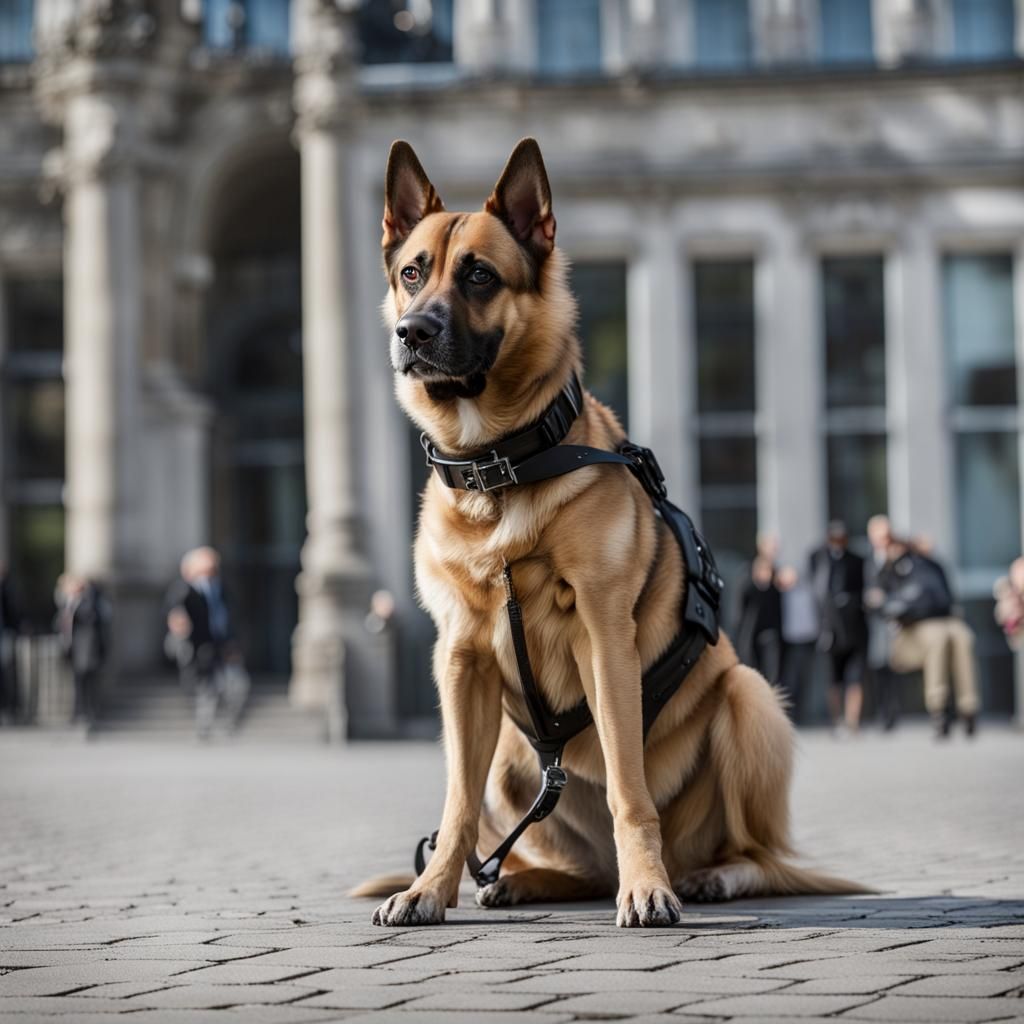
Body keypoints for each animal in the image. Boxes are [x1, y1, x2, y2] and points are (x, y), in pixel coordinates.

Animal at [354, 138, 864, 929]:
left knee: (759, 854)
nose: (413, 334)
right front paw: (431, 887)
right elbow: (456, 803)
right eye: (412, 272)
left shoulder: (603, 638)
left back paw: (704, 876)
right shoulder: (460, 662)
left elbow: (630, 787)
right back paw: (526, 879)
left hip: (748, 700)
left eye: (478, 275)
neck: (501, 466)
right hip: (510, 753)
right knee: (570, 863)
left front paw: (646, 888)